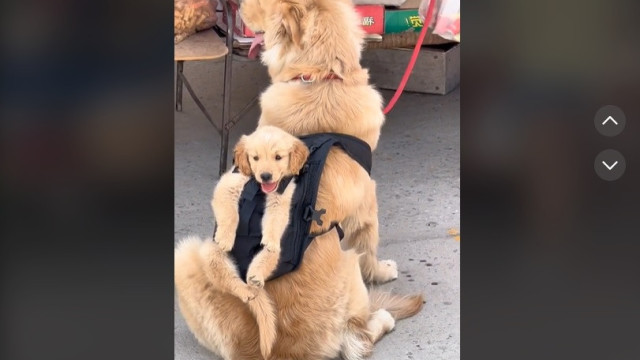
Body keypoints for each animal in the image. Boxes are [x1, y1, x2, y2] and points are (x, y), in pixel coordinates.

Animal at [211, 125, 308, 288]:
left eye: (278, 157)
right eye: (255, 158)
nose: (265, 176)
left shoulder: (280, 201)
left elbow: (274, 221)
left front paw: (271, 240)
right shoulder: (228, 185)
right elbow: (231, 215)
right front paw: (225, 238)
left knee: (269, 257)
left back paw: (256, 276)